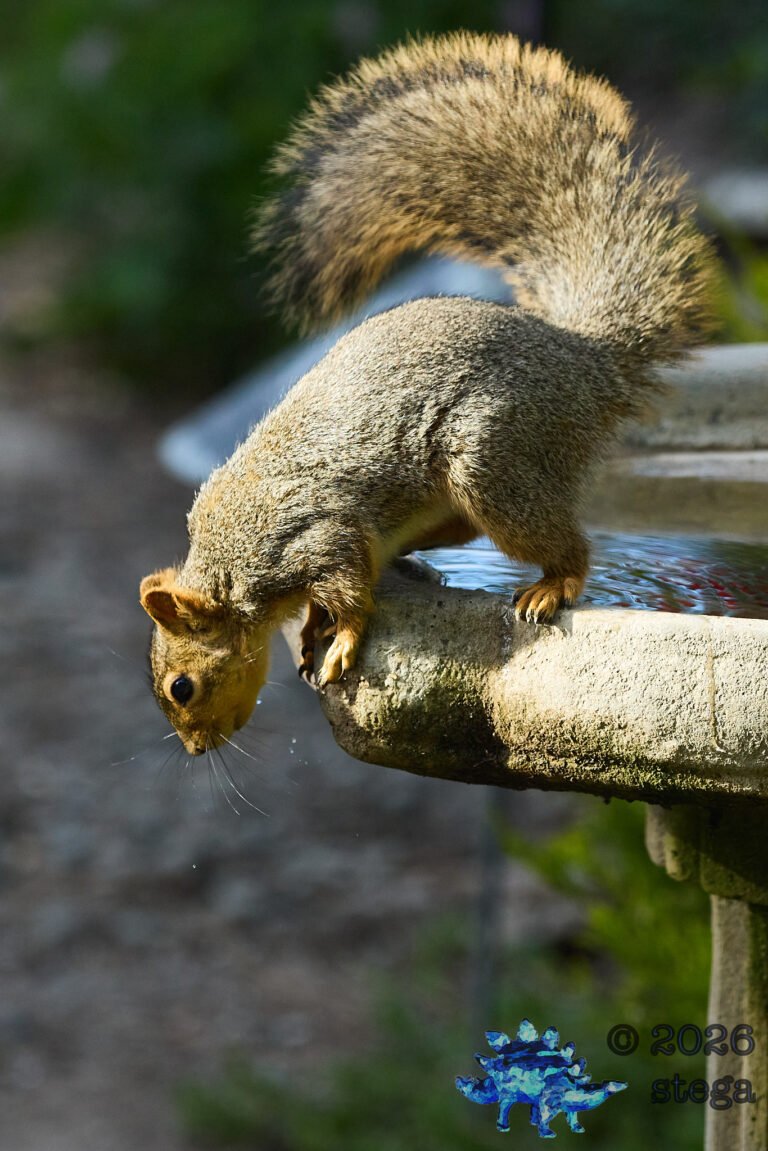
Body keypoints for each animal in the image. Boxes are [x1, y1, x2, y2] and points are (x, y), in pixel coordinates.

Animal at [139, 31, 713, 756]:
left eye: (182, 686)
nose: (196, 749)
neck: (232, 566)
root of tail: (587, 361)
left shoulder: (315, 539)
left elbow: (351, 594)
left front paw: (341, 640)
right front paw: (311, 630)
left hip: (496, 458)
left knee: (564, 545)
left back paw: (552, 586)